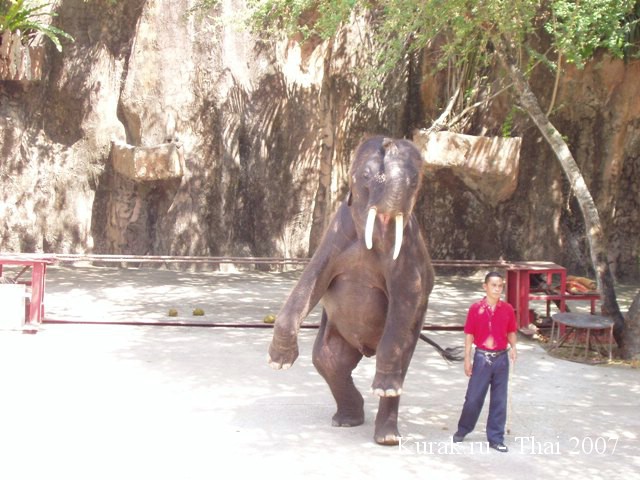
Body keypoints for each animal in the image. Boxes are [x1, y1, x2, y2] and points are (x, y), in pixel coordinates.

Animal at [268, 135, 443, 445]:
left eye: (415, 182)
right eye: (366, 177)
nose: (389, 143)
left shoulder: (407, 250)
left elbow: (407, 296)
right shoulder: (335, 234)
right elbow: (310, 281)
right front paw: (279, 363)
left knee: (397, 367)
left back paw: (387, 434)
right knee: (328, 361)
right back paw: (347, 421)